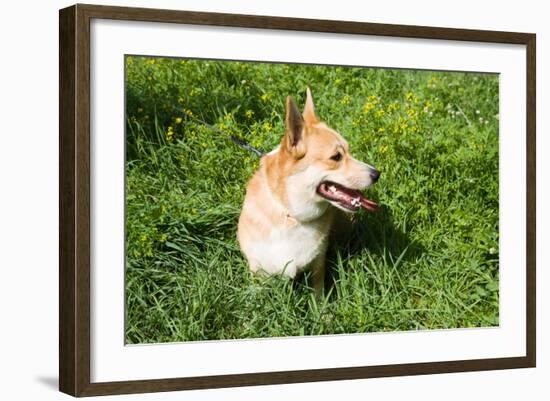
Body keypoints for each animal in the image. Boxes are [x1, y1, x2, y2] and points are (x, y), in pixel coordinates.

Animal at [237, 89, 380, 292]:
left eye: (349, 151)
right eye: (336, 157)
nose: (377, 174)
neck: (292, 216)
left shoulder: (318, 263)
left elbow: (317, 290)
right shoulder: (257, 268)